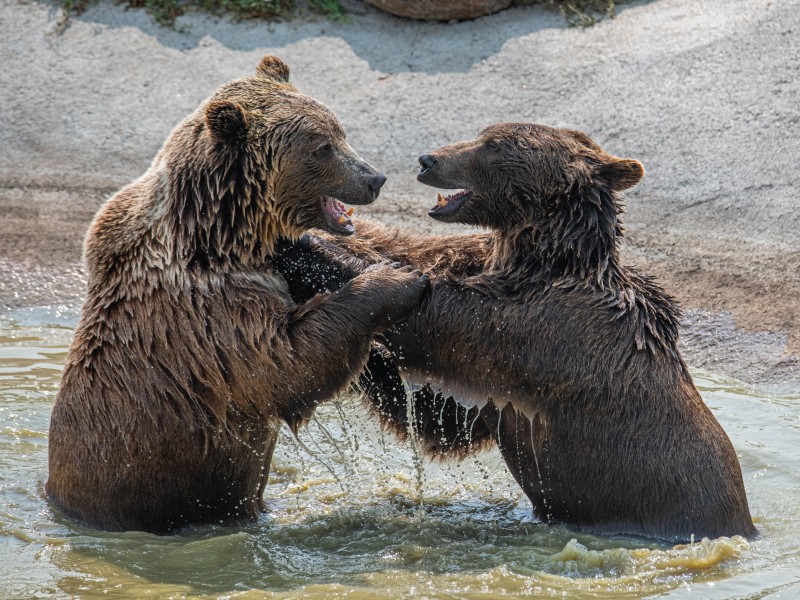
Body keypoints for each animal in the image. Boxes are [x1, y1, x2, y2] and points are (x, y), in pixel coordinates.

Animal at [46, 56, 428, 536]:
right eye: (321, 147)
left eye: (340, 130)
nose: (375, 177)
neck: (225, 233)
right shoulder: (208, 308)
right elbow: (288, 361)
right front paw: (399, 278)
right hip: (132, 490)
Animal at [274, 123, 756, 544]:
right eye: (484, 133)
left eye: (493, 143)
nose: (428, 158)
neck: (545, 258)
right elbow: (435, 416)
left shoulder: (534, 329)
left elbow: (438, 324)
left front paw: (303, 246)